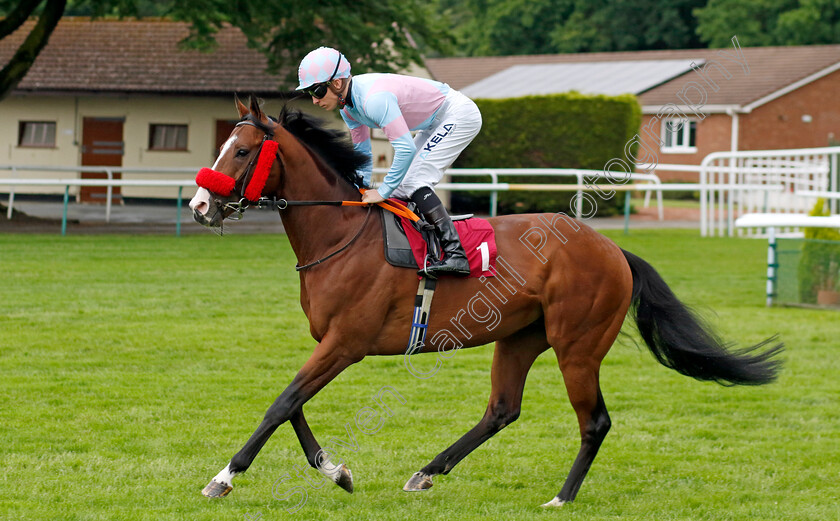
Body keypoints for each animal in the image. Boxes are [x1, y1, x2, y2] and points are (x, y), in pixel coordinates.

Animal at [189, 95, 780, 506]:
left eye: (241, 151)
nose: (199, 206)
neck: (341, 234)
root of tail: (612, 248)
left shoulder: (346, 344)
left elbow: (282, 403)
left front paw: (223, 478)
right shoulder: (330, 342)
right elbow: (293, 405)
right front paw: (337, 472)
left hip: (578, 345)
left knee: (594, 422)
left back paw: (560, 497)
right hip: (520, 338)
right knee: (502, 409)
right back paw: (427, 472)